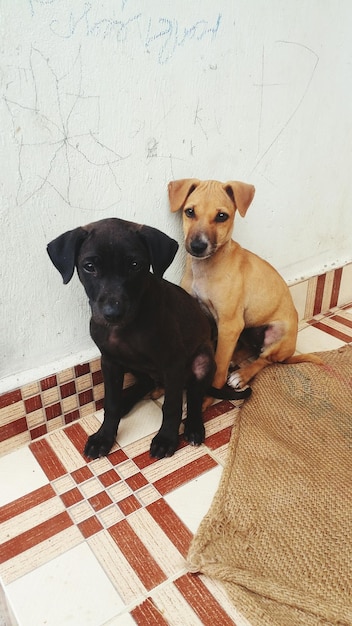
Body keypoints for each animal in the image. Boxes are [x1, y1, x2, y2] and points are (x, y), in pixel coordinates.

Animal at [46, 217, 217, 456]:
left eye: (135, 265)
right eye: (89, 267)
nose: (112, 313)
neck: (125, 328)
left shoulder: (173, 365)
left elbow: (172, 405)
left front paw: (166, 438)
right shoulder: (110, 362)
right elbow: (111, 404)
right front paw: (104, 437)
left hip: (202, 361)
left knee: (194, 397)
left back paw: (193, 426)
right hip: (132, 364)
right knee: (146, 382)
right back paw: (126, 401)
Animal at [168, 178, 322, 398]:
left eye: (221, 216)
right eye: (190, 212)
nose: (198, 246)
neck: (206, 267)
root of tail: (290, 352)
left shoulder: (230, 324)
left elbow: (219, 365)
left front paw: (211, 395)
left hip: (278, 334)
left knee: (264, 359)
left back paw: (241, 375)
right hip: (247, 328)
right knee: (252, 349)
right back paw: (236, 359)